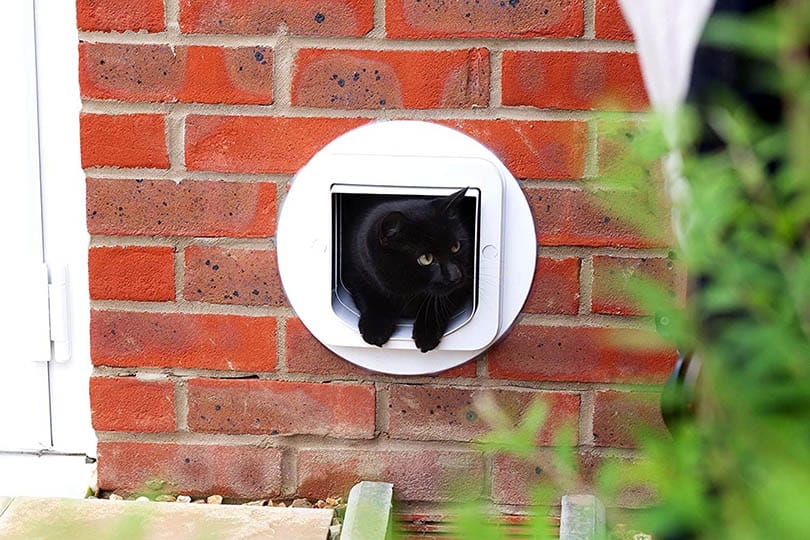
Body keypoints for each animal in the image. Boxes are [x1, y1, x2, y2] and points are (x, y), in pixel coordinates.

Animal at [340, 188, 474, 352]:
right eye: (426, 258)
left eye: (456, 247)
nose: (456, 276)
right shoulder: (356, 270)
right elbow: (369, 295)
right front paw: (375, 328)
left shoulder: (464, 283)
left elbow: (438, 305)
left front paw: (426, 335)